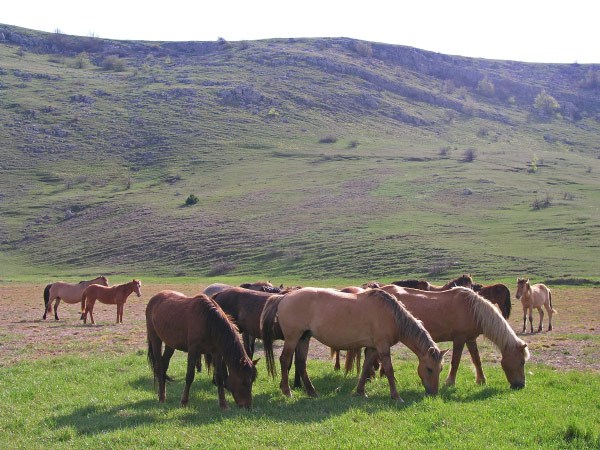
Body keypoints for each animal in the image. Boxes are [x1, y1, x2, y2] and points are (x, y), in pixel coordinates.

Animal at [260, 288, 448, 400]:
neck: (392, 316)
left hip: (303, 338)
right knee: (285, 360)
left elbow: (366, 367)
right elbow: (389, 369)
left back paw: (312, 392)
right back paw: (287, 391)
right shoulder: (382, 346)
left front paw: (360, 391)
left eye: (441, 369)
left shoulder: (373, 348)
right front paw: (396, 396)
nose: (433, 392)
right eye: (429, 369)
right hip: (293, 338)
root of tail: (284, 296)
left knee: (300, 363)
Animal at [382, 286, 532, 388]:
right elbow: (455, 362)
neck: (472, 309)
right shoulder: (459, 339)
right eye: (522, 362)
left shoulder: (471, 339)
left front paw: (481, 380)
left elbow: (477, 360)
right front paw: (450, 382)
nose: (520, 385)